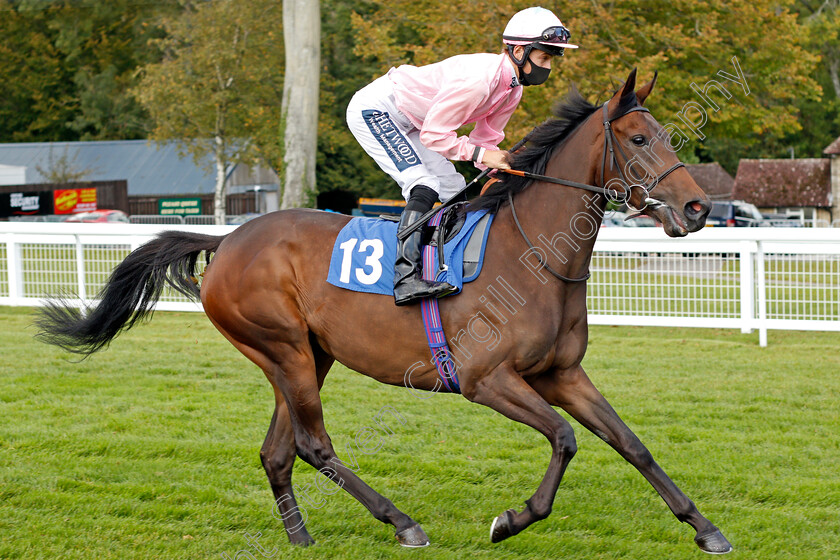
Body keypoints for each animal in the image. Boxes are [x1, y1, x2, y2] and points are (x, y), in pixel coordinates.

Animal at [37, 68, 728, 552]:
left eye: (664, 136)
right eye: (638, 138)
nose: (697, 208)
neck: (531, 252)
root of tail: (227, 239)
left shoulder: (561, 374)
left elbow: (631, 443)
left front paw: (705, 528)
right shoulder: (486, 380)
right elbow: (564, 439)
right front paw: (512, 519)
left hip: (304, 357)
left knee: (277, 451)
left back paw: (301, 537)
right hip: (283, 347)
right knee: (313, 445)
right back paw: (402, 523)